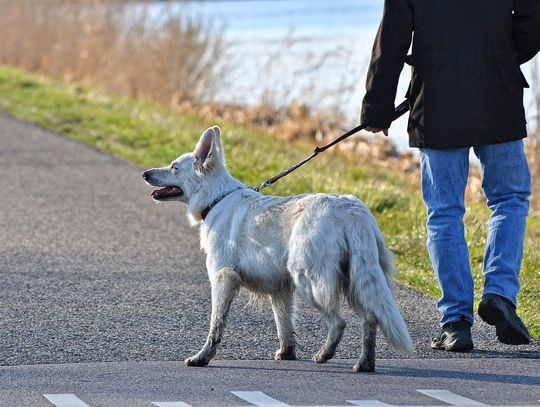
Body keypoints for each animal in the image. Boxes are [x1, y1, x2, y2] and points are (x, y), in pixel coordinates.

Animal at [142, 126, 414, 372]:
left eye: (174, 167)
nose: (144, 173)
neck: (216, 199)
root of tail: (352, 211)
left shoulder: (223, 279)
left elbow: (215, 325)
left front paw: (202, 357)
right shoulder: (280, 289)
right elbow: (284, 325)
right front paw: (287, 353)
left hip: (310, 281)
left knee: (339, 322)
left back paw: (325, 354)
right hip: (356, 280)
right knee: (370, 318)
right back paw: (364, 363)